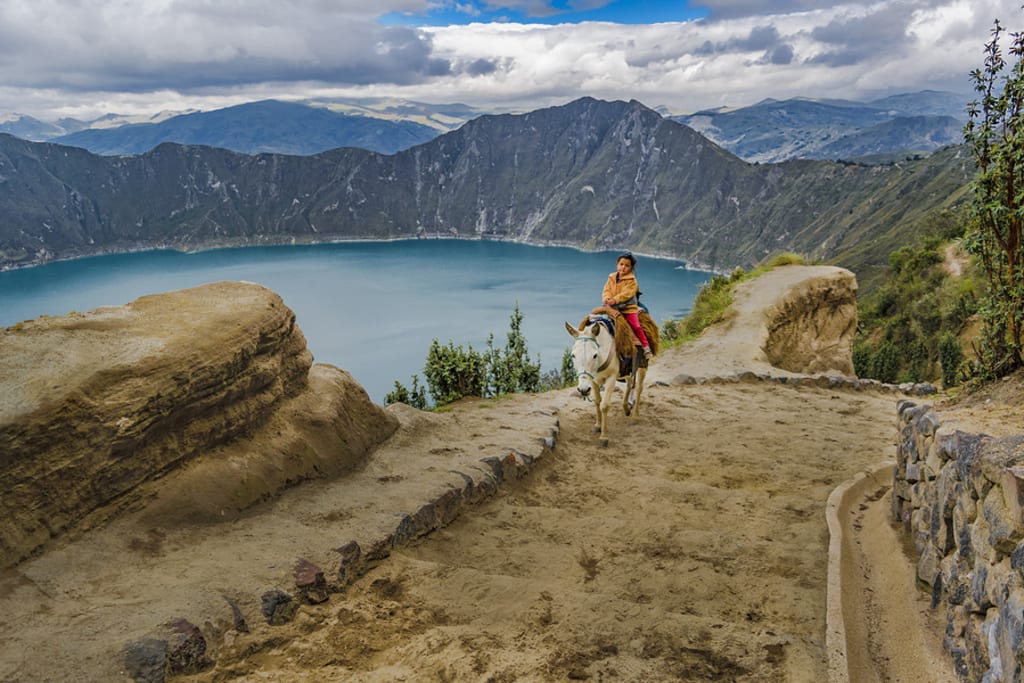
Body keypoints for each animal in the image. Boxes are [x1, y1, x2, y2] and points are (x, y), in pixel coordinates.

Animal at [565, 317, 643, 446]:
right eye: (573, 355)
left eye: (595, 355)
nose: (583, 390)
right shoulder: (593, 381)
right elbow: (597, 402)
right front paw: (598, 426)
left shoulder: (611, 378)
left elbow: (604, 405)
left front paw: (604, 437)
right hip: (626, 372)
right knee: (629, 383)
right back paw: (626, 408)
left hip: (642, 366)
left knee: (639, 388)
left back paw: (635, 417)